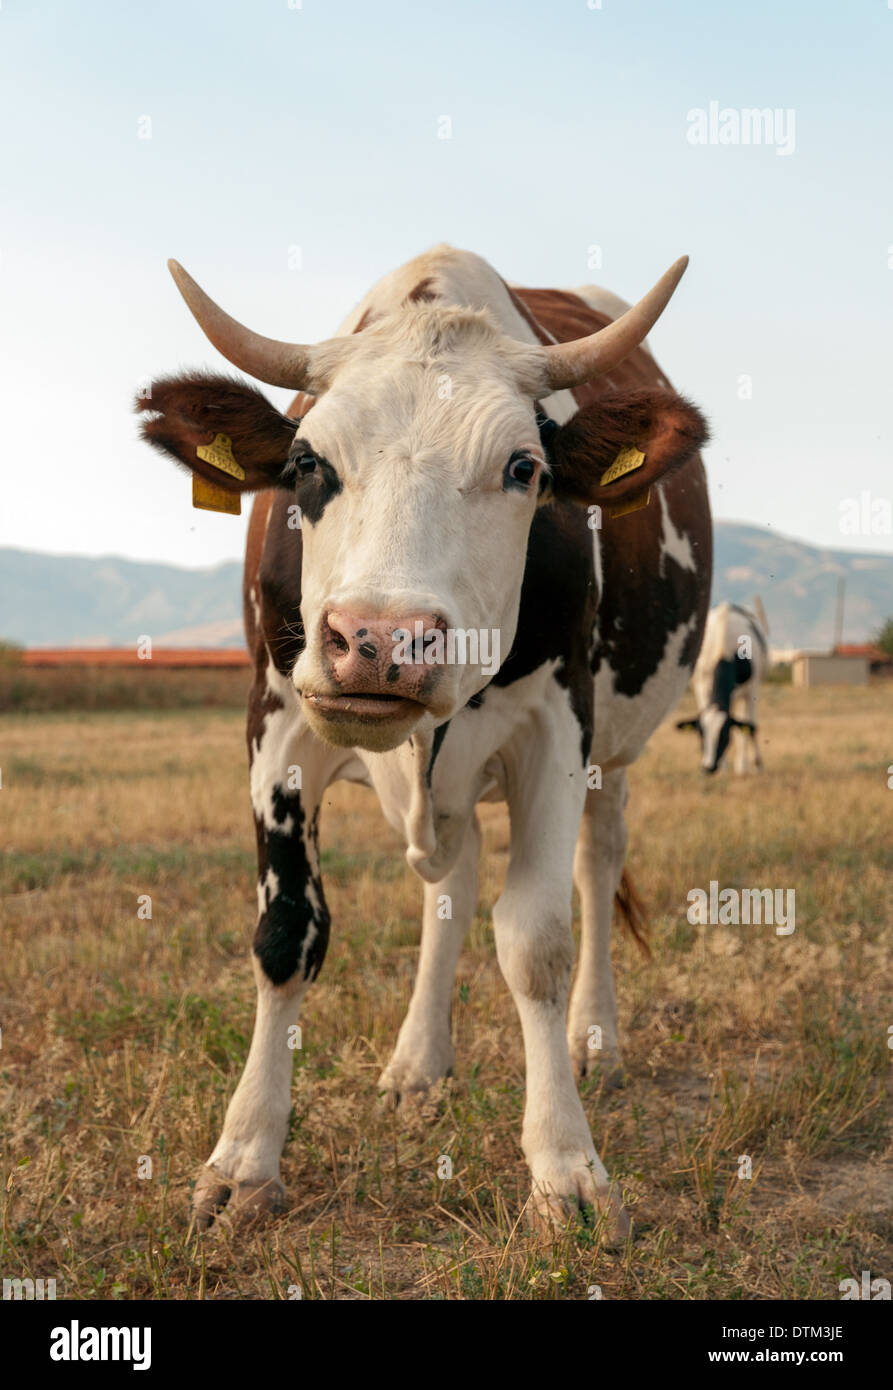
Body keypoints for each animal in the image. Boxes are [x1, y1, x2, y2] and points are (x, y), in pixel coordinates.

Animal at [137, 239, 709, 1239]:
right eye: (306, 461)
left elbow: (536, 942)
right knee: (454, 879)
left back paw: (593, 1040)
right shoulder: (275, 726)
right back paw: (418, 1064)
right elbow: (286, 933)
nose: (378, 639)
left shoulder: (557, 728)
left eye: (523, 468)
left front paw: (567, 1167)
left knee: (595, 866)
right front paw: (243, 1158)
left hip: (615, 752)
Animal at [673, 594, 767, 772]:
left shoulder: (751, 689)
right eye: (701, 734)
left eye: (723, 735)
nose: (708, 767)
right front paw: (724, 765)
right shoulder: (702, 686)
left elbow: (749, 727)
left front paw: (751, 765)